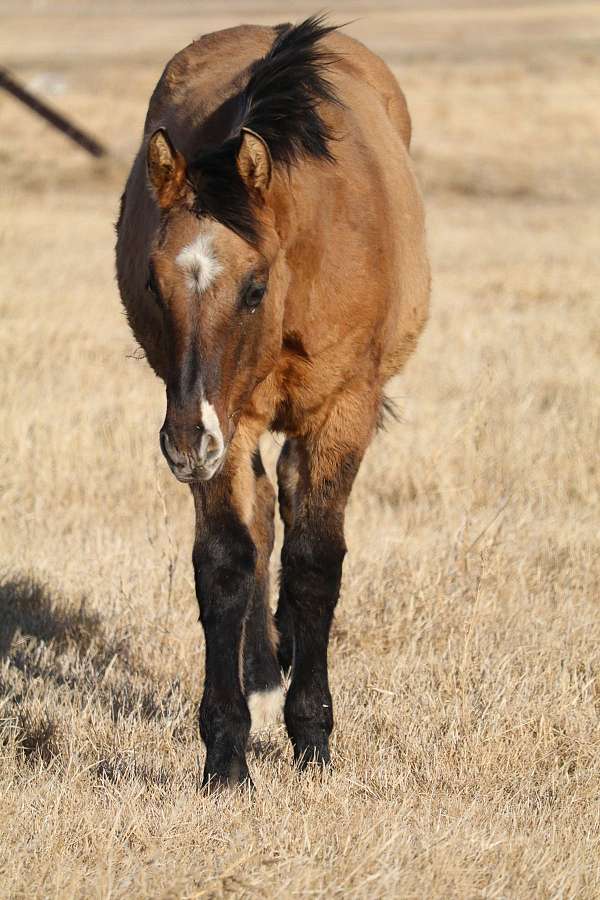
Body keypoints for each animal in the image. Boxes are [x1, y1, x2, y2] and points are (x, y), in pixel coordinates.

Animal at [115, 15, 429, 788]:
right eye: (153, 282)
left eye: (253, 287)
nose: (183, 447)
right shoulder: (224, 419)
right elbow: (227, 560)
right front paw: (227, 753)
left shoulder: (342, 410)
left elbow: (316, 561)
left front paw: (312, 737)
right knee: (261, 513)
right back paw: (263, 670)